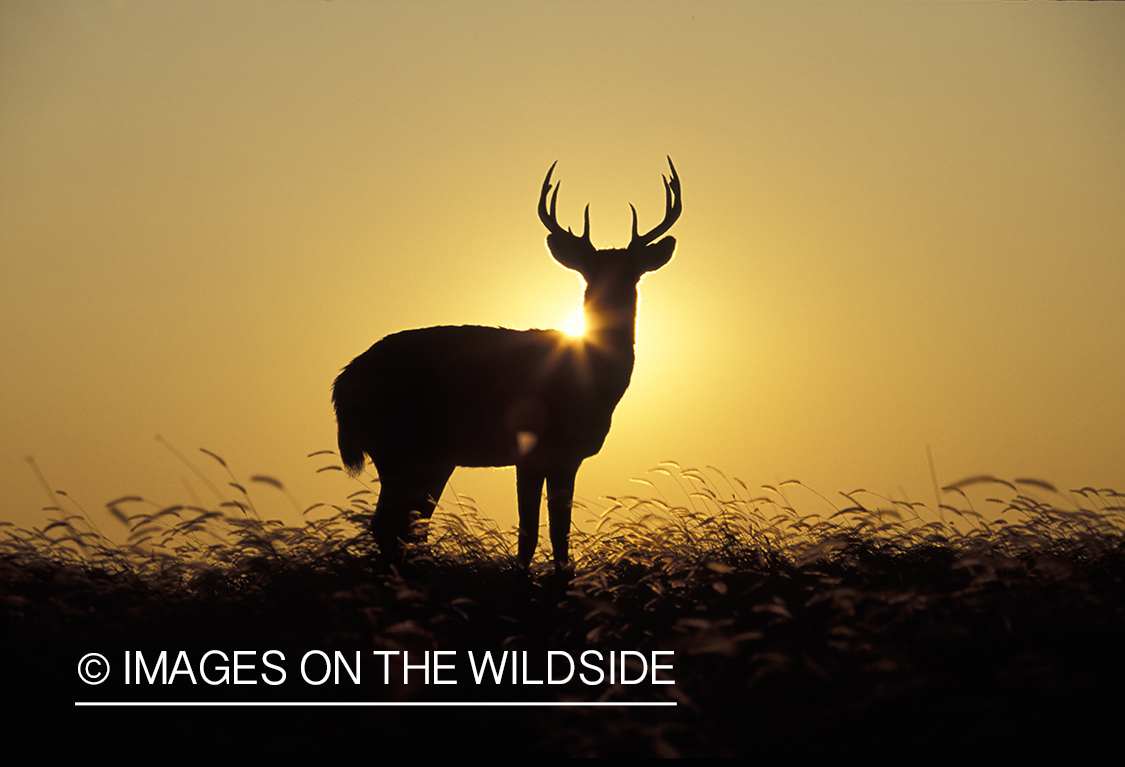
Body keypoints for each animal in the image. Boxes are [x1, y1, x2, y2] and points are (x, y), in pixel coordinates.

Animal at [328, 156, 679, 562]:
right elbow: (528, 532)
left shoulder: (569, 455)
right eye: (589, 273)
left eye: (632, 273)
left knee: (406, 526)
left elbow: (560, 534)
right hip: (401, 445)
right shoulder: (529, 444)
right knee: (391, 525)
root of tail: (341, 385)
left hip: (428, 455)